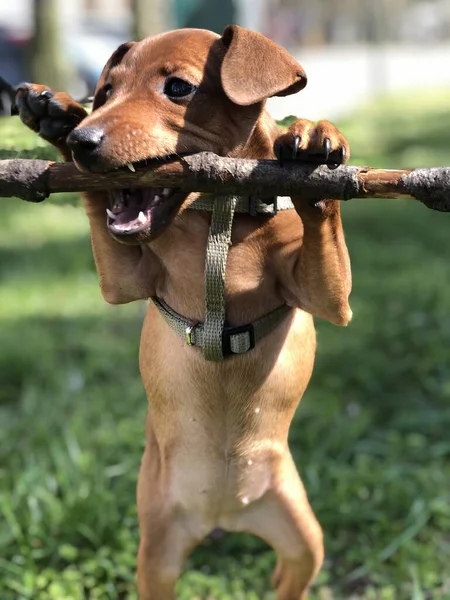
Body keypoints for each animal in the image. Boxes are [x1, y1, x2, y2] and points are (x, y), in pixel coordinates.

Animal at [16, 24, 352, 600]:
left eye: (177, 88)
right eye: (104, 93)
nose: (83, 143)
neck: (222, 213)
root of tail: (223, 518)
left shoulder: (330, 299)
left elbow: (322, 222)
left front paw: (311, 142)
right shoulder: (123, 280)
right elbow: (98, 209)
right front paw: (56, 116)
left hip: (302, 532)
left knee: (291, 573)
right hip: (158, 552)